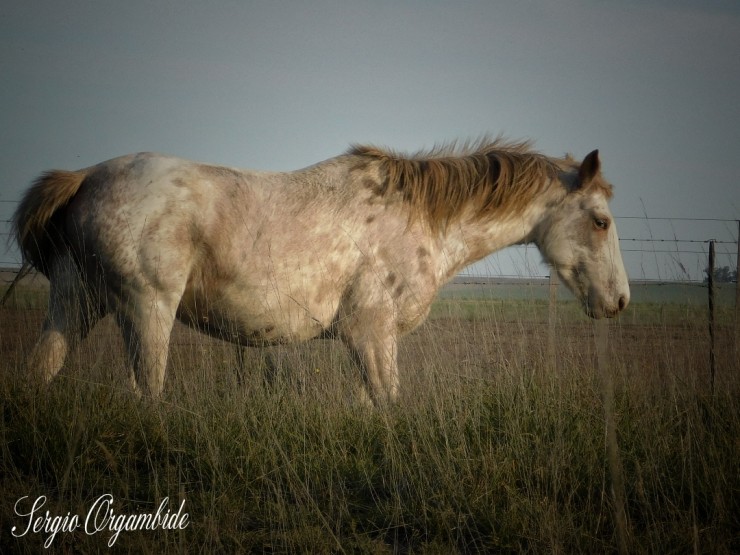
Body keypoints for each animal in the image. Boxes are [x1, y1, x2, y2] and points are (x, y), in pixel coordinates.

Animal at [13, 138, 632, 404]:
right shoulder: (372, 334)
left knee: (40, 370)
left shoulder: (366, 343)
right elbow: (389, 405)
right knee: (145, 394)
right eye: (600, 221)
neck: (417, 218)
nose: (621, 300)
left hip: (74, 303)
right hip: (146, 313)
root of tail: (88, 177)